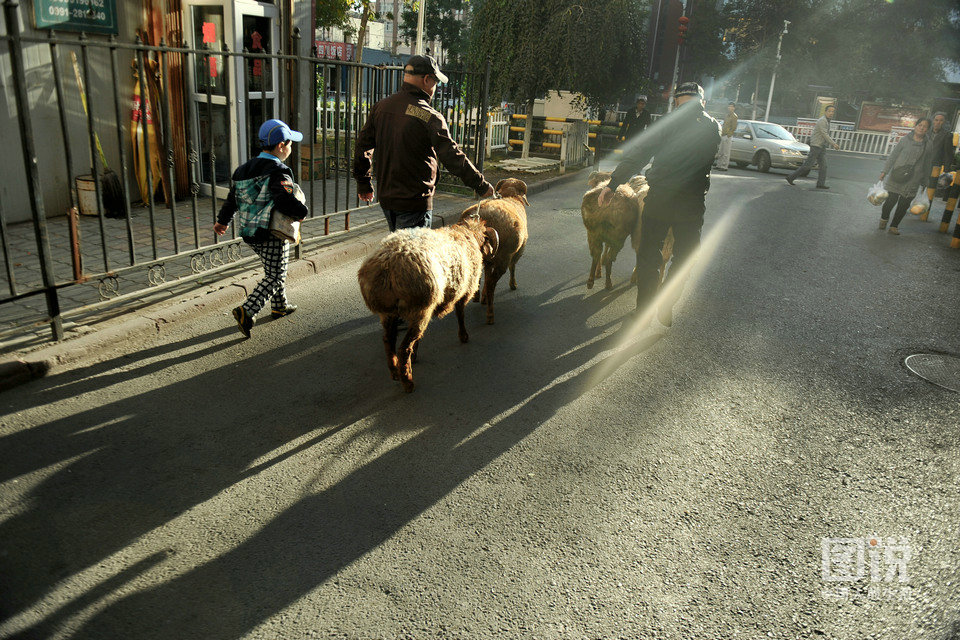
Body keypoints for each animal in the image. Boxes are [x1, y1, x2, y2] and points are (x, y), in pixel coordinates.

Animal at [356, 215, 498, 392]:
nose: (491, 255)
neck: (468, 235)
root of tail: (388, 266)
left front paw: (415, 355)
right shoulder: (464, 289)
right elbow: (460, 314)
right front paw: (463, 336)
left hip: (389, 312)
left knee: (389, 340)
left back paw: (395, 371)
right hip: (420, 308)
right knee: (404, 347)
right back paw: (408, 381)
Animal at [460, 176, 528, 322]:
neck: (510, 197)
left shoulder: (489, 260)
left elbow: (486, 274)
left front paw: (483, 297)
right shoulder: (517, 252)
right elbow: (512, 267)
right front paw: (513, 285)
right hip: (502, 258)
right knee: (492, 284)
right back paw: (490, 315)